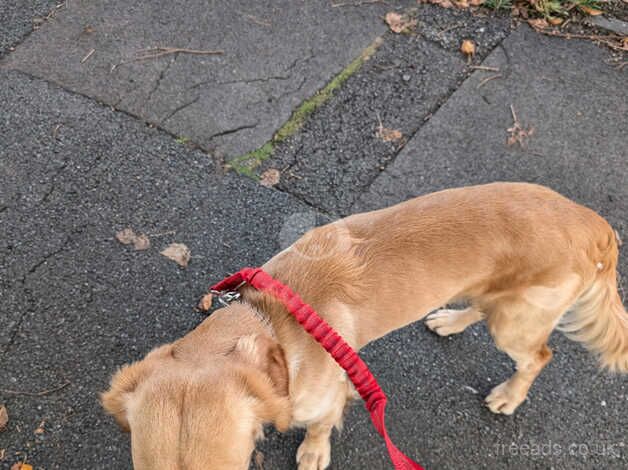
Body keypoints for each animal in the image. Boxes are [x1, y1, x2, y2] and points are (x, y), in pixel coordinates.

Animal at [100, 184, 624, 470]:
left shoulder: (326, 395)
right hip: (499, 299)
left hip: (516, 323)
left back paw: (509, 396)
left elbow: (320, 426)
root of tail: (595, 224)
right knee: (482, 309)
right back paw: (451, 321)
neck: (272, 321)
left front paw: (313, 452)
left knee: (539, 356)